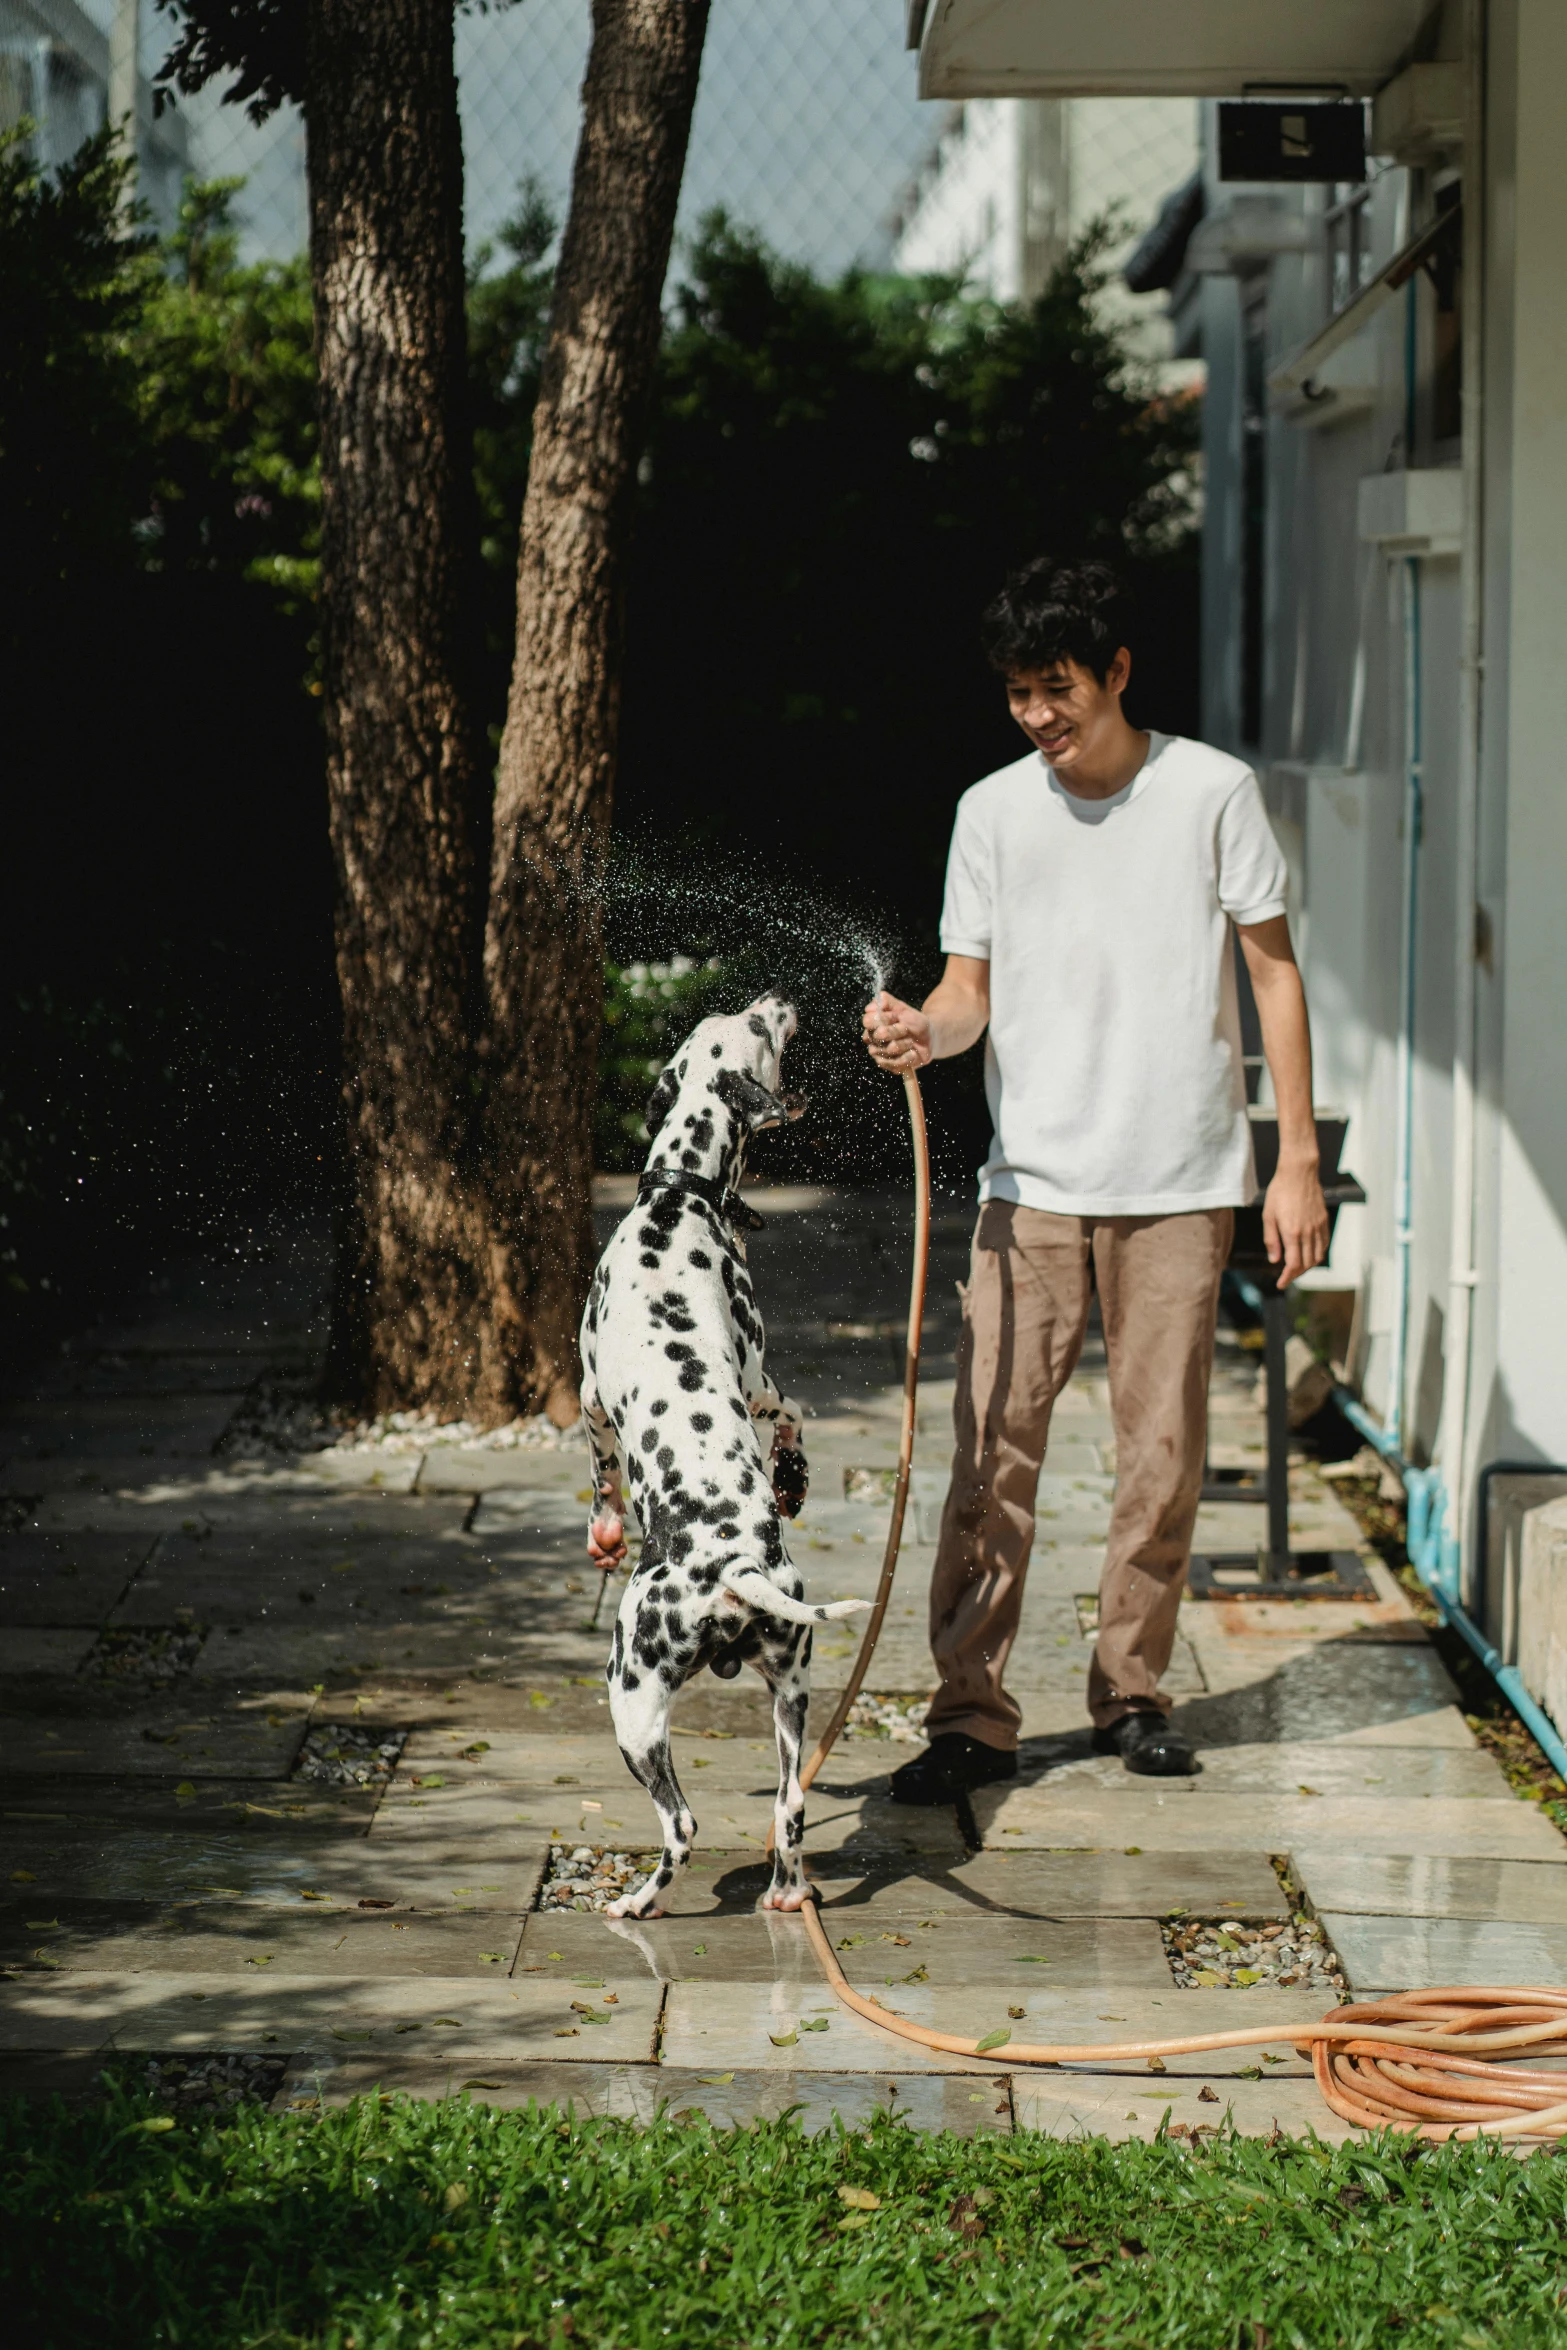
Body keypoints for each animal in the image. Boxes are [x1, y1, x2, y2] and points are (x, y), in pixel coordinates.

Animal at [580, 982, 869, 1917]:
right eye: (744, 1023)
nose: (775, 995)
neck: (681, 1200)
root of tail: (734, 1567)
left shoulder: (591, 1397)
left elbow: (600, 1476)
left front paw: (604, 1532)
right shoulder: (756, 1375)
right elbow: (794, 1413)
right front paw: (792, 1482)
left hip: (631, 1700)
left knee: (681, 1825)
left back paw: (635, 1903)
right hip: (792, 1695)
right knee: (789, 1806)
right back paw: (785, 1893)